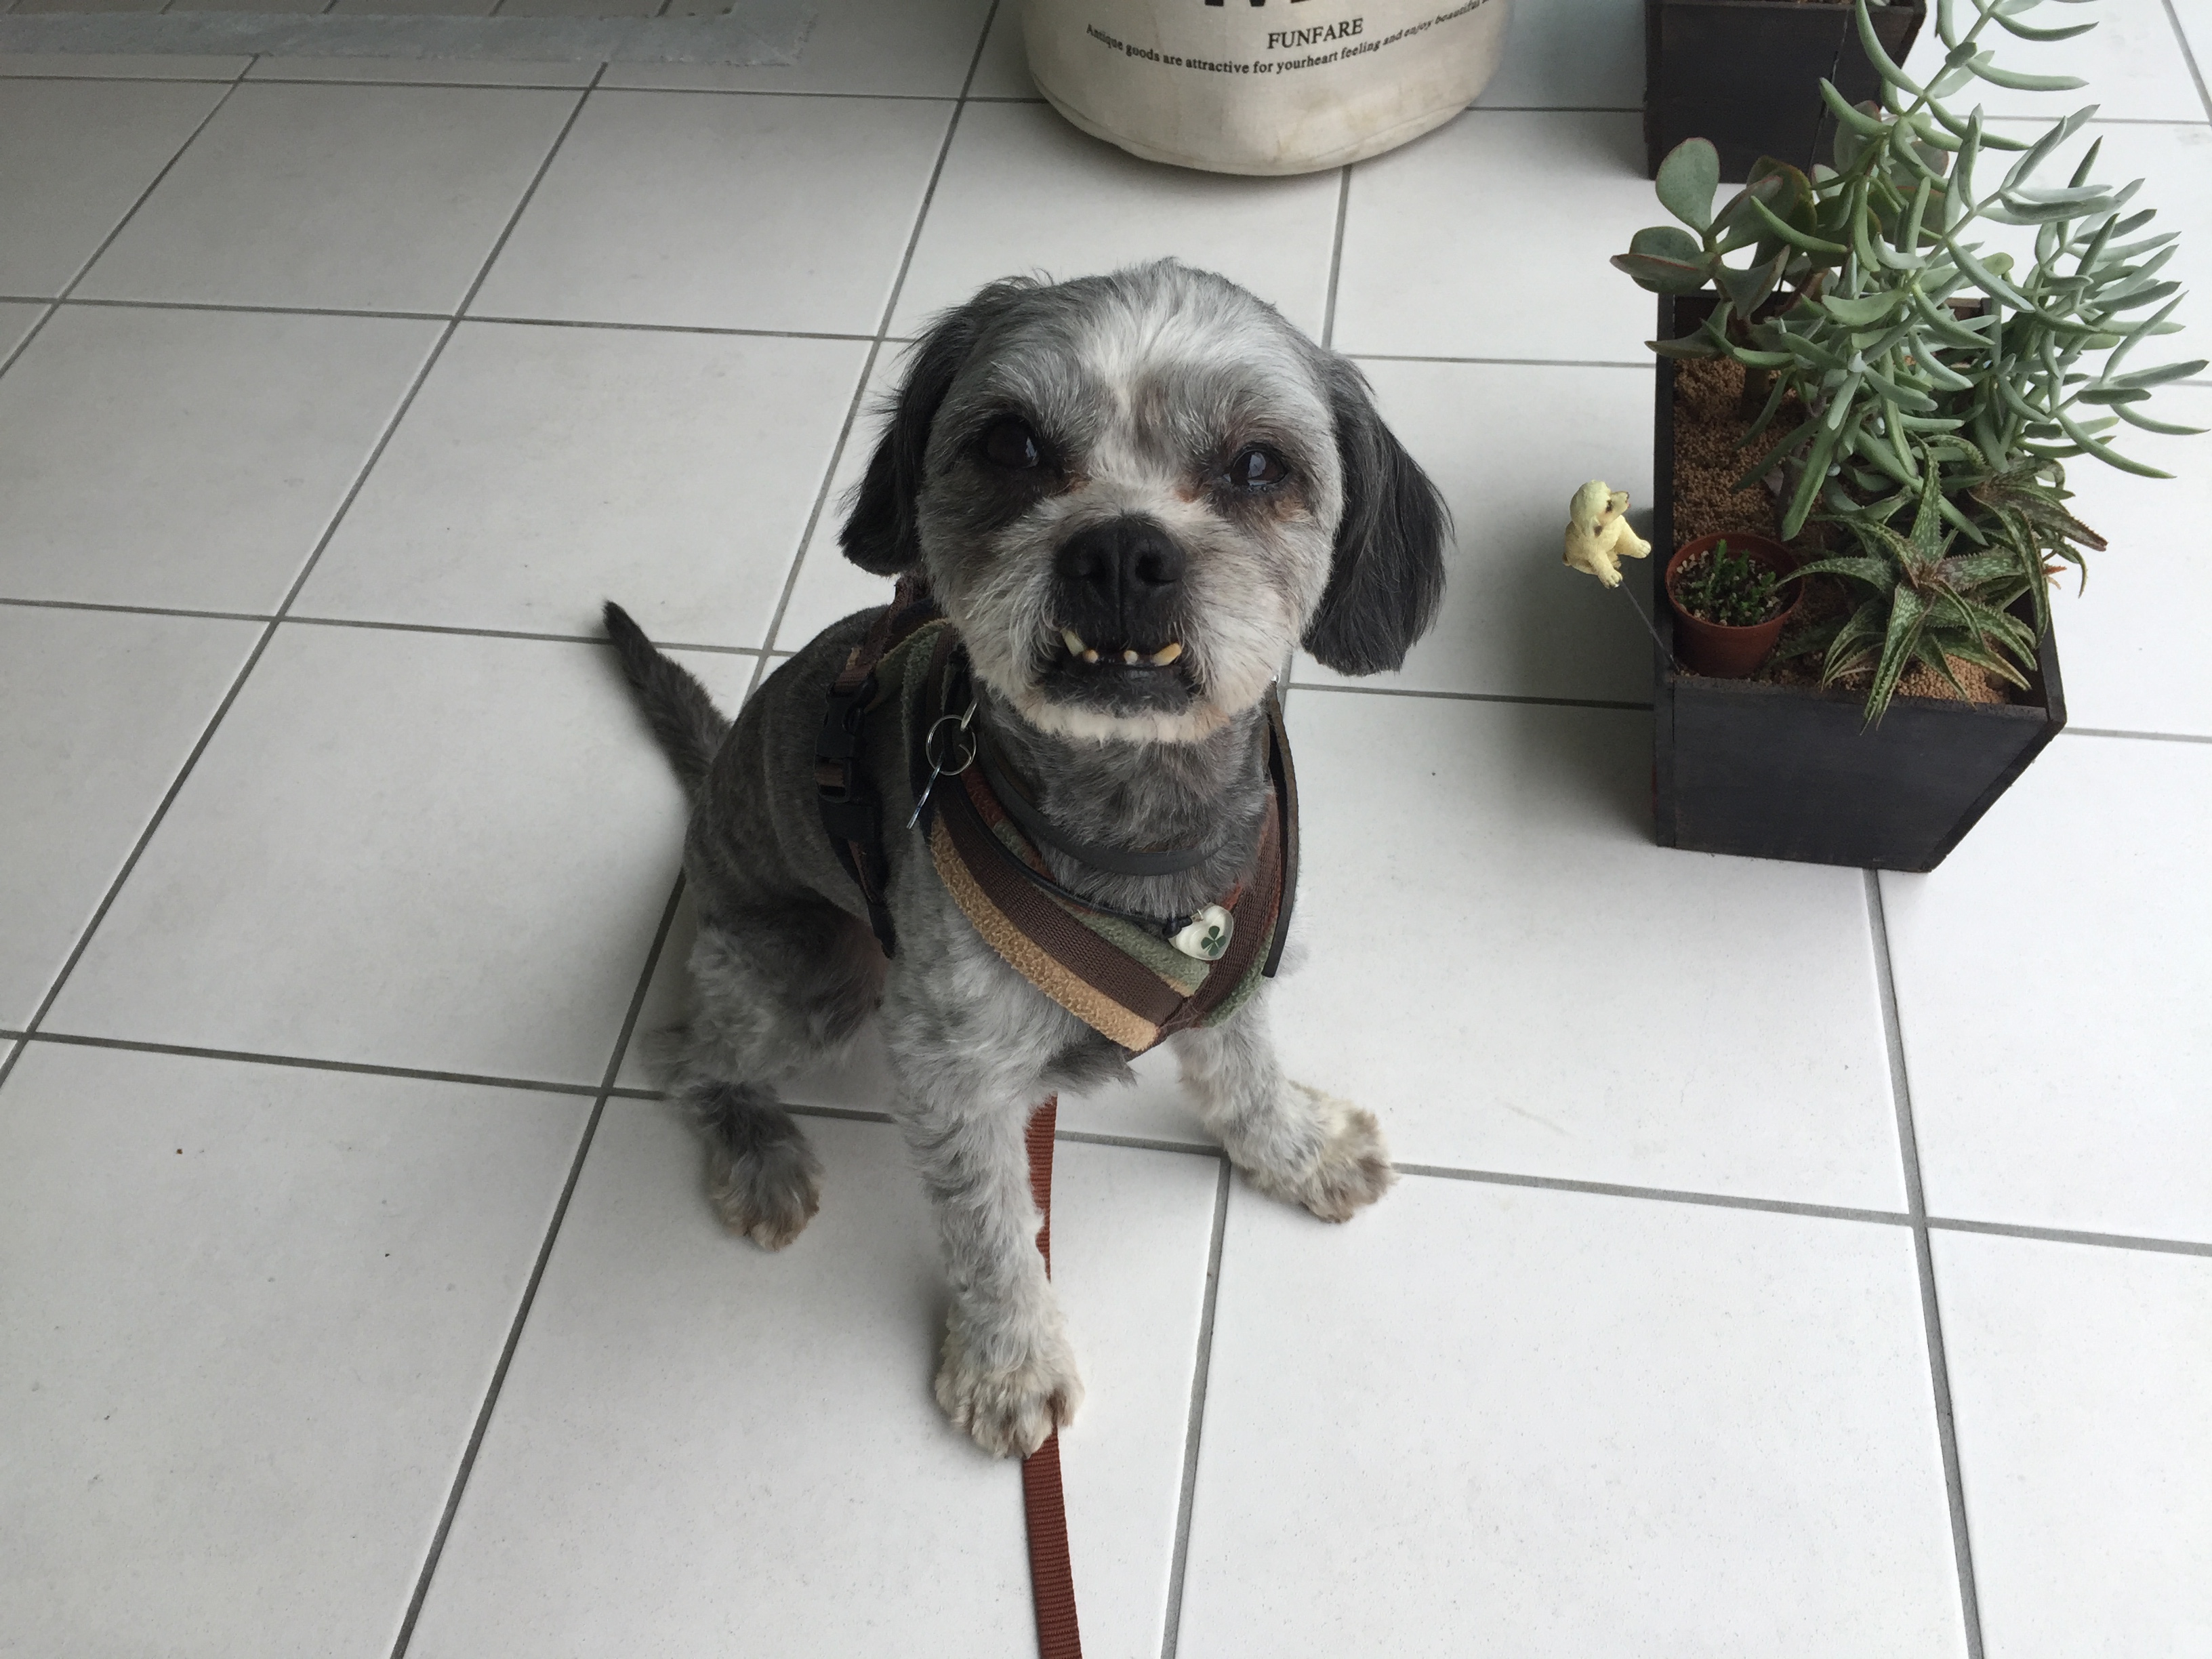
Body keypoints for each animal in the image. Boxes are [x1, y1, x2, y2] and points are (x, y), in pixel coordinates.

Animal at [605, 259, 1446, 1458]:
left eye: (1257, 466)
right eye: (1011, 445)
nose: (1122, 553)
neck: (1135, 830)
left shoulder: (1237, 968)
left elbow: (1246, 1079)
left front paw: (1297, 1150)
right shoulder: (950, 1066)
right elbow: (991, 1232)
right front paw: (1009, 1365)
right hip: (811, 975)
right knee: (686, 1059)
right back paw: (755, 1149)